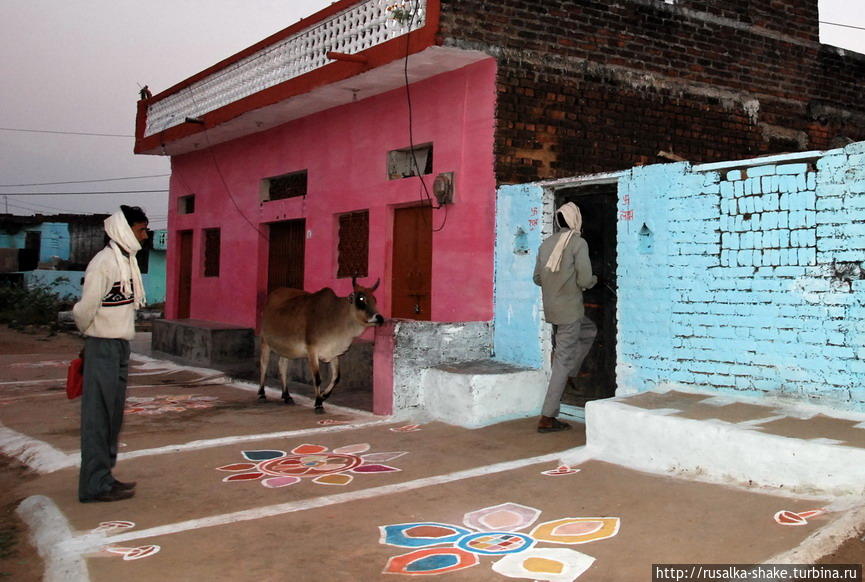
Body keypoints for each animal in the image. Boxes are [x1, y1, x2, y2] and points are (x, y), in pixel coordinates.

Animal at [253, 278, 382, 416]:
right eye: (361, 299)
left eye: (374, 299)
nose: (379, 317)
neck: (336, 317)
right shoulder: (312, 351)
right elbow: (317, 378)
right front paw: (319, 403)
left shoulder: (333, 353)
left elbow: (336, 377)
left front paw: (324, 395)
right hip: (264, 341)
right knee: (263, 365)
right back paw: (261, 394)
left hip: (286, 349)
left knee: (282, 366)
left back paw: (287, 396)